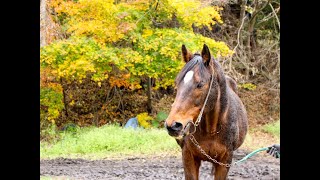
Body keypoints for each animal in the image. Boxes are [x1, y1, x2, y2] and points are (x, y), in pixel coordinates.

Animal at [165, 44, 248, 180]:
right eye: (177, 82)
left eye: (200, 84)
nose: (173, 125)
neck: (211, 130)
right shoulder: (188, 157)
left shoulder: (225, 161)